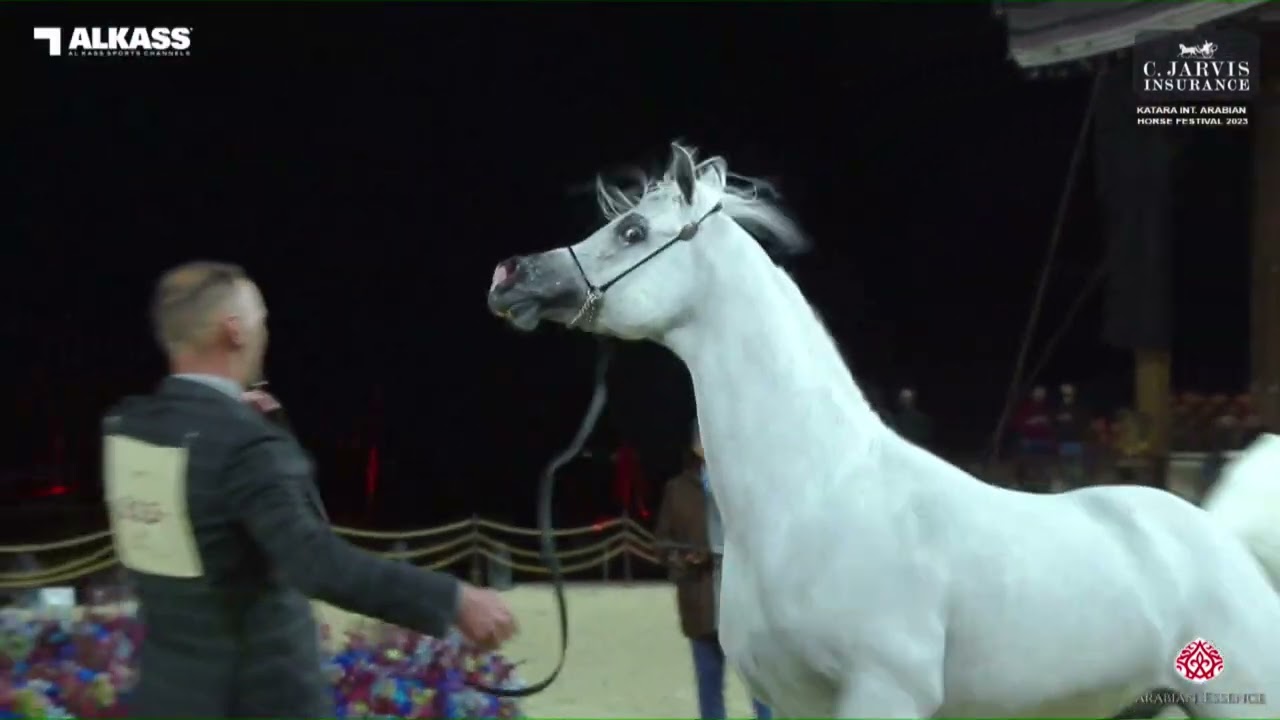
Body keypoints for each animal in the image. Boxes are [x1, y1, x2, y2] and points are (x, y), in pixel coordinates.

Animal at [487, 141, 1280, 718]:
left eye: (632, 230)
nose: (511, 274)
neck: (814, 499)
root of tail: (1223, 536)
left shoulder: (883, 694)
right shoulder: (798, 704)